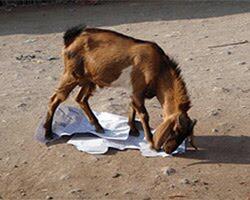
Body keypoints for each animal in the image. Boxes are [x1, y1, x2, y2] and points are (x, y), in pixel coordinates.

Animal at [43, 25, 197, 153]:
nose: (168, 150)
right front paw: (151, 142)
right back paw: (48, 133)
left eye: (186, 135)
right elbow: (143, 114)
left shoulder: (133, 91)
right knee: (55, 99)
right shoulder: (137, 90)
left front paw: (133, 130)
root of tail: (71, 39)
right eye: (175, 130)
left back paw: (98, 126)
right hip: (71, 75)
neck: (159, 69)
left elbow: (132, 107)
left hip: (88, 80)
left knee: (81, 99)